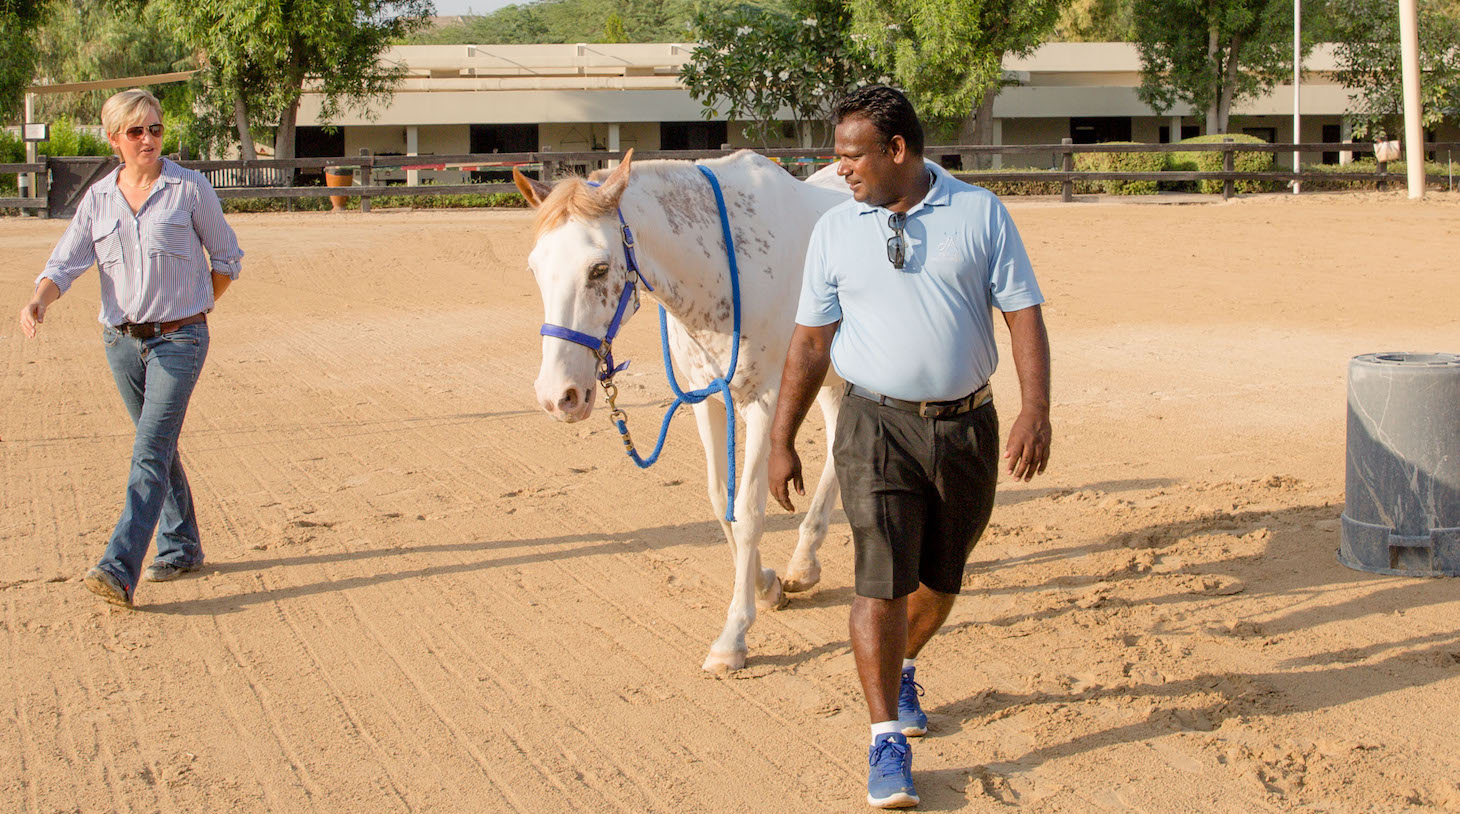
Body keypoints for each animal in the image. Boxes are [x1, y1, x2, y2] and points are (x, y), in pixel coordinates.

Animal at [519, 150, 852, 673]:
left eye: (599, 269)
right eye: (536, 268)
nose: (559, 396)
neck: (725, 267)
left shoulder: (765, 404)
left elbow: (749, 509)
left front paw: (734, 636)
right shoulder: (705, 399)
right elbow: (721, 502)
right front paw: (767, 586)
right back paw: (804, 563)